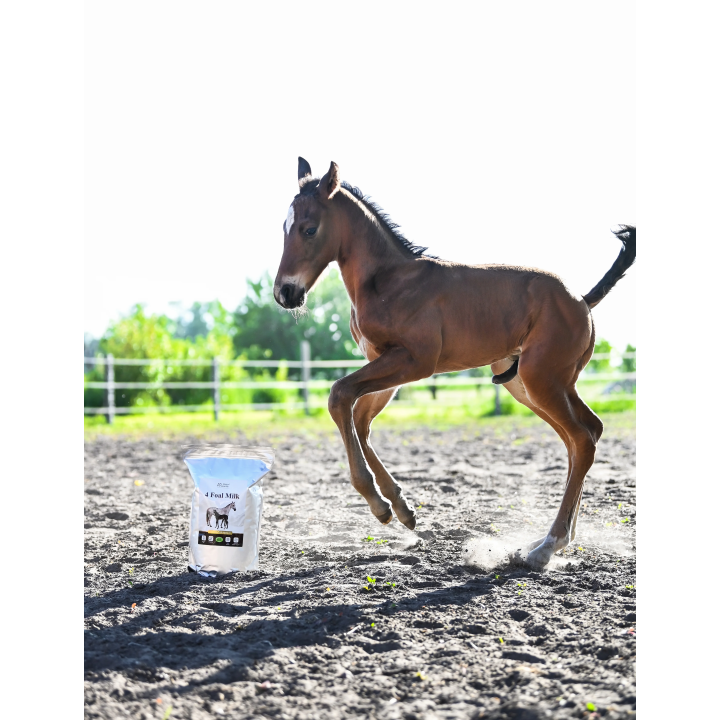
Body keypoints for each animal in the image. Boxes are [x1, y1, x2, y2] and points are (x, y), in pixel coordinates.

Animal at [274, 157, 635, 569]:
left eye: (309, 228)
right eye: (284, 227)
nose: (285, 292)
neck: (388, 280)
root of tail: (582, 300)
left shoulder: (415, 361)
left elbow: (339, 396)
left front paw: (380, 505)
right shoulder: (385, 364)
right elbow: (359, 419)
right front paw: (401, 509)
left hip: (541, 380)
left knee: (582, 439)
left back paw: (546, 546)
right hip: (533, 385)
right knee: (586, 434)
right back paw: (555, 540)